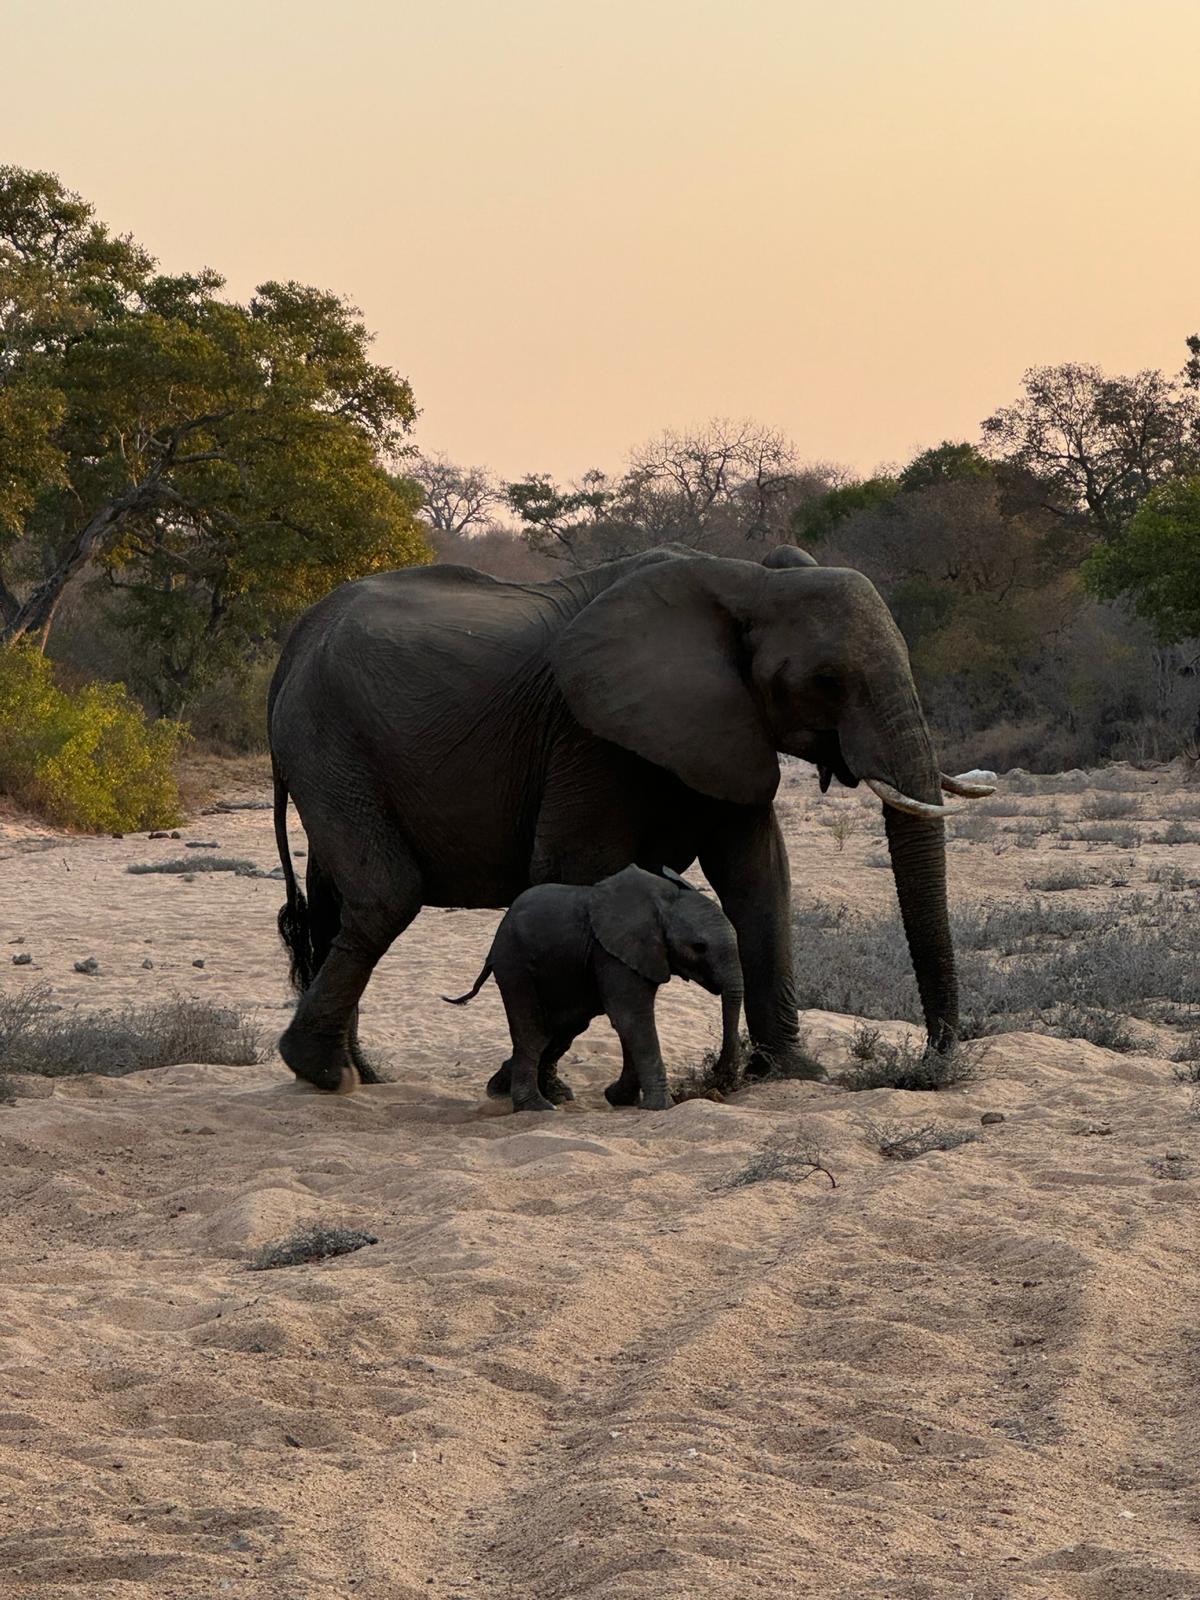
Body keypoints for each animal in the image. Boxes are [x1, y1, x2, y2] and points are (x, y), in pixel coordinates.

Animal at [444, 864, 742, 1113]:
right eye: (699, 947)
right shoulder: (611, 952)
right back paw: (536, 1107)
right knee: (532, 1031)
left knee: (562, 1029)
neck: (662, 901)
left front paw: (619, 1098)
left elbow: (629, 1021)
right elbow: (632, 1018)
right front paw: (660, 1107)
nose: (716, 1075)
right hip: (514, 964)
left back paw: (509, 1091)